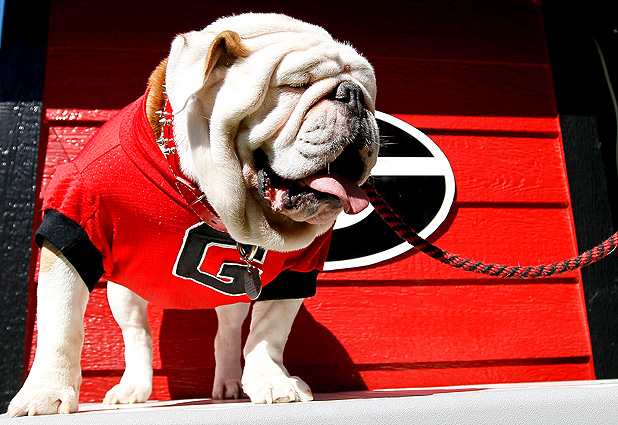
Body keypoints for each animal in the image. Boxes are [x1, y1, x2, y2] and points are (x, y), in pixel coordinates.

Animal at [7, 13, 378, 416]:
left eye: (370, 96)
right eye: (295, 85)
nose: (355, 97)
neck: (211, 198)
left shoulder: (296, 270)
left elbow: (269, 333)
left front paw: (273, 380)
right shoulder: (76, 223)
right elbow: (61, 324)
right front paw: (46, 392)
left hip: (233, 294)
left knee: (228, 334)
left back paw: (229, 384)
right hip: (123, 294)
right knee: (137, 334)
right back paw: (133, 388)